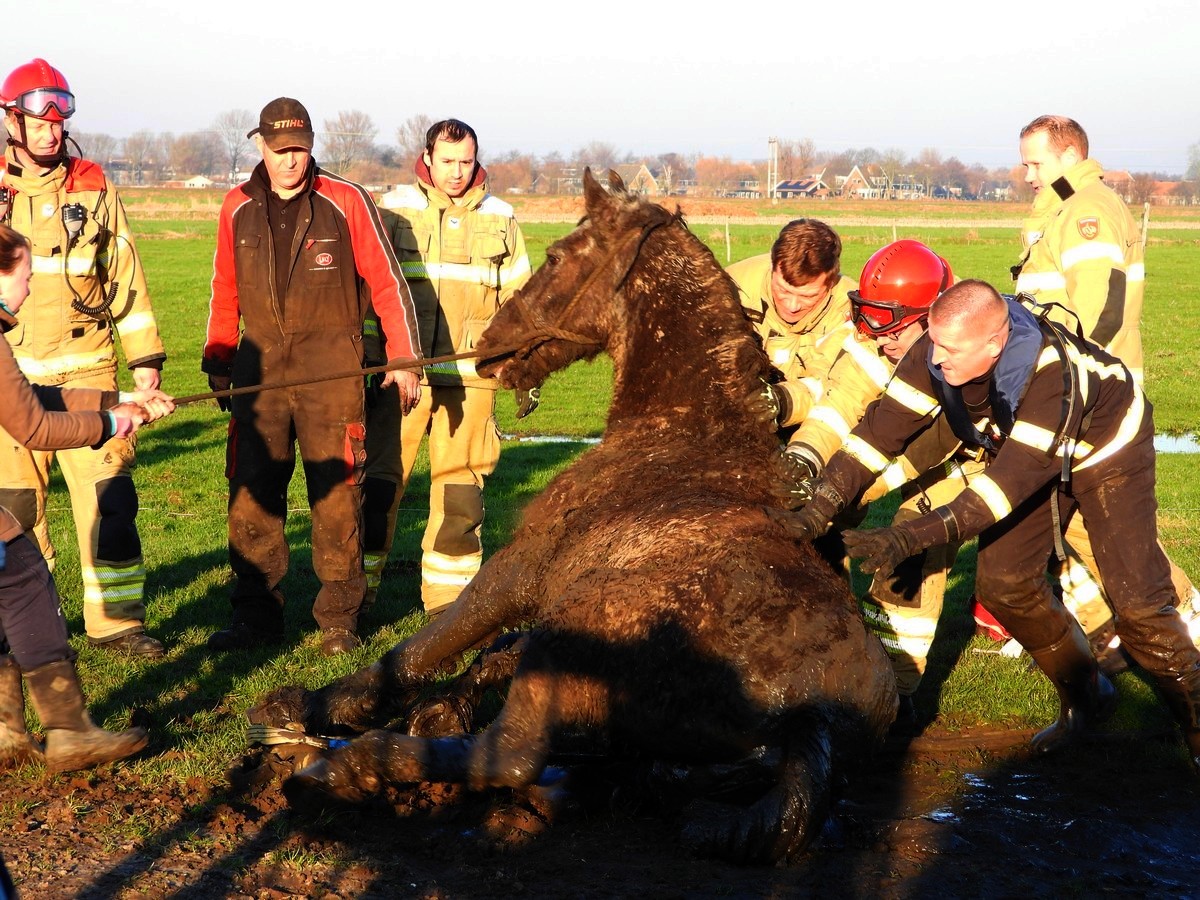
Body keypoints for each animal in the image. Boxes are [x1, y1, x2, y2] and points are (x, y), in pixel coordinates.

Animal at [248, 169, 897, 868]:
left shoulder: (522, 568)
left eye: (557, 256)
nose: (490, 346)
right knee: (597, 779)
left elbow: (426, 645)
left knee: (508, 756)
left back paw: (337, 767)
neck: (684, 435)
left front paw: (308, 706)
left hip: (566, 641)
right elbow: (478, 654)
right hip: (660, 753)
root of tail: (816, 716)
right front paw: (435, 707)